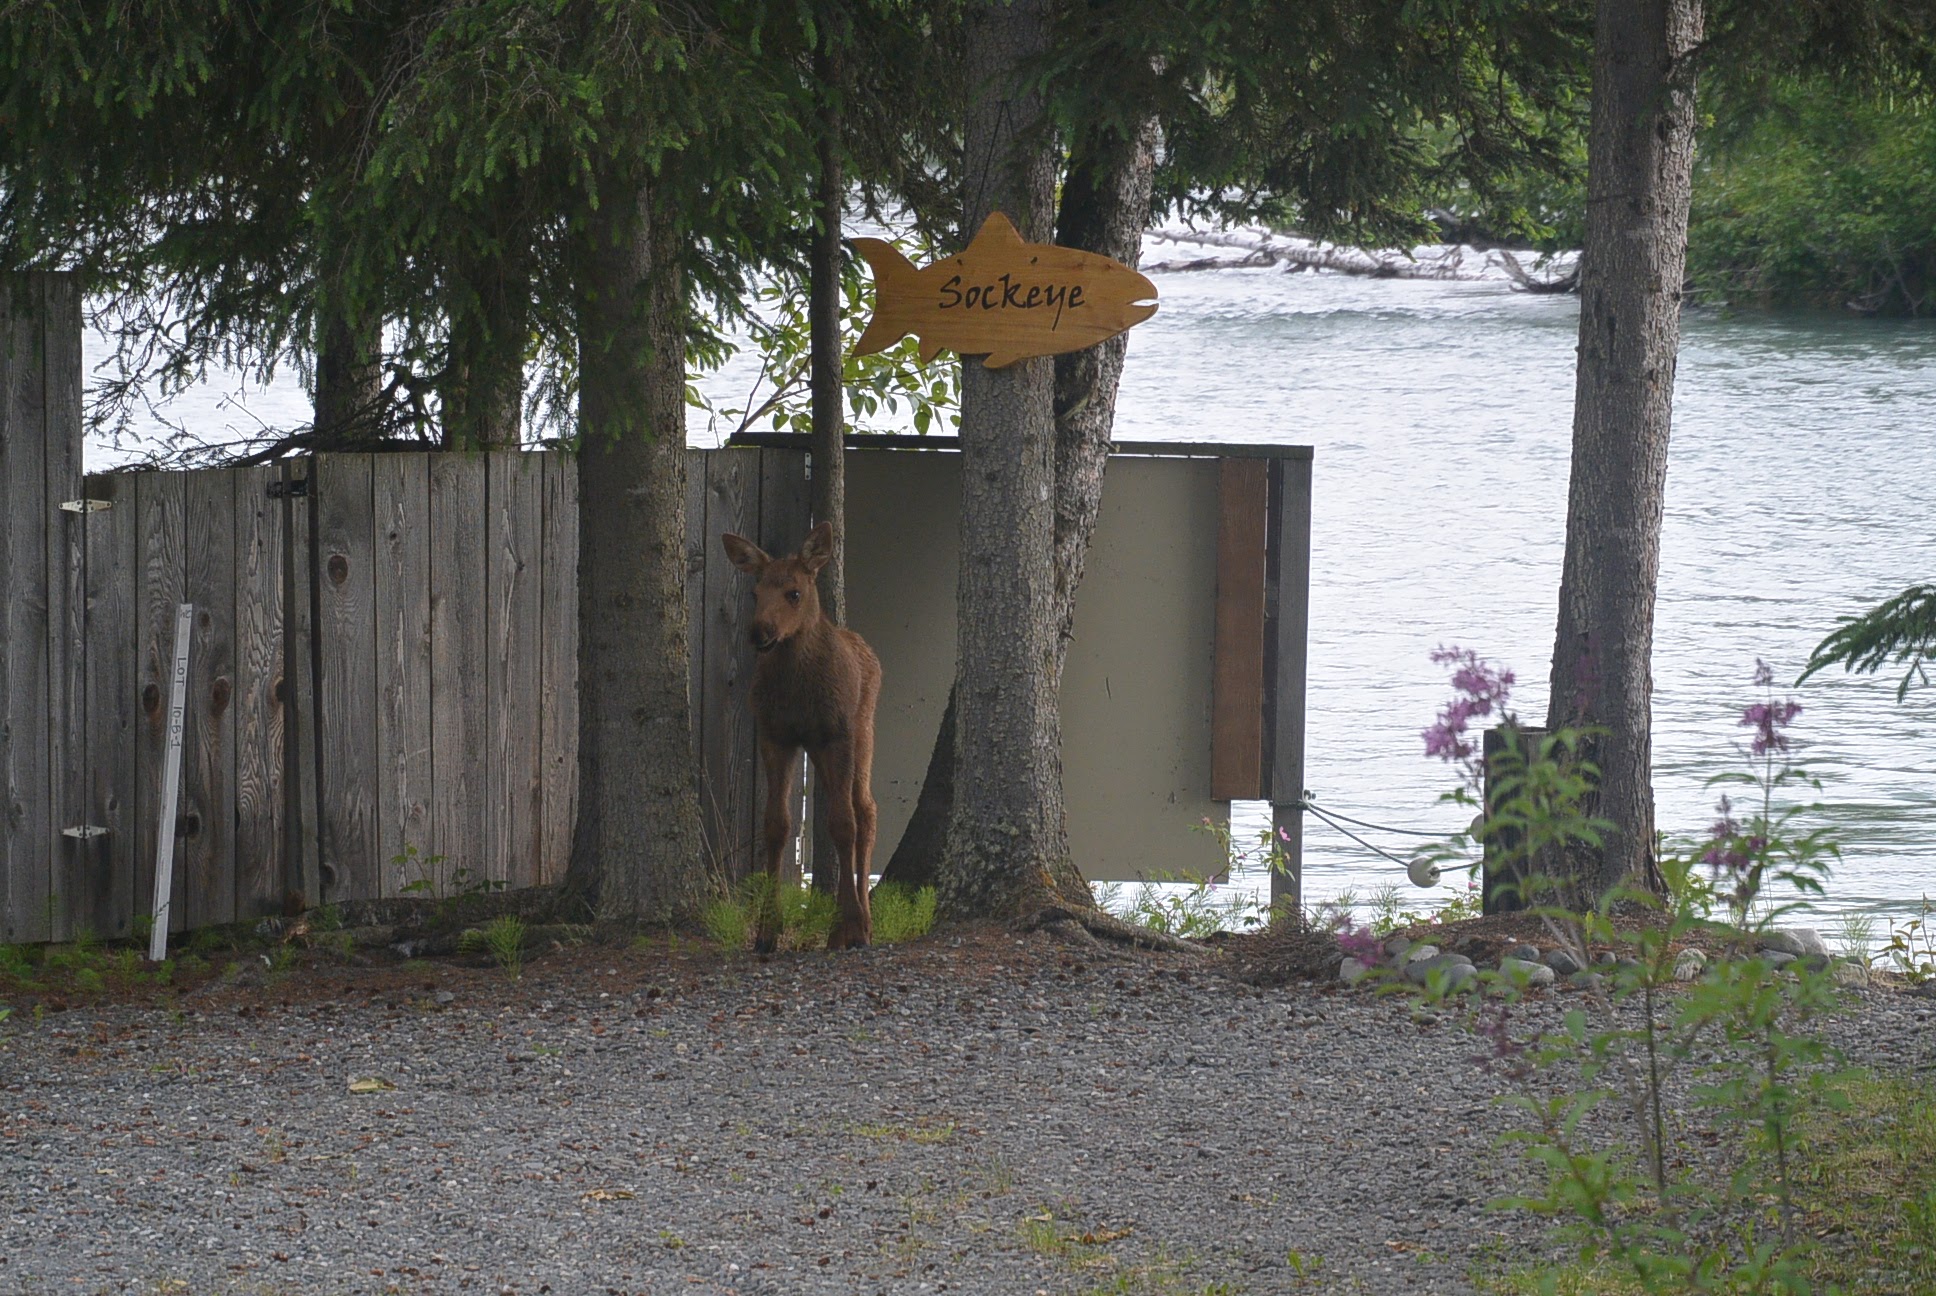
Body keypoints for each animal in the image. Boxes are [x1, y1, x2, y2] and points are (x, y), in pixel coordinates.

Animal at [724, 519, 882, 949]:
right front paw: (767, 930)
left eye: (794, 593)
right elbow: (777, 824)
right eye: (755, 592)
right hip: (820, 749)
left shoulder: (836, 734)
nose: (760, 631)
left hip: (862, 731)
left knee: (866, 811)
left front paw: (853, 925)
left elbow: (844, 823)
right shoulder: (775, 735)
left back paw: (864, 923)